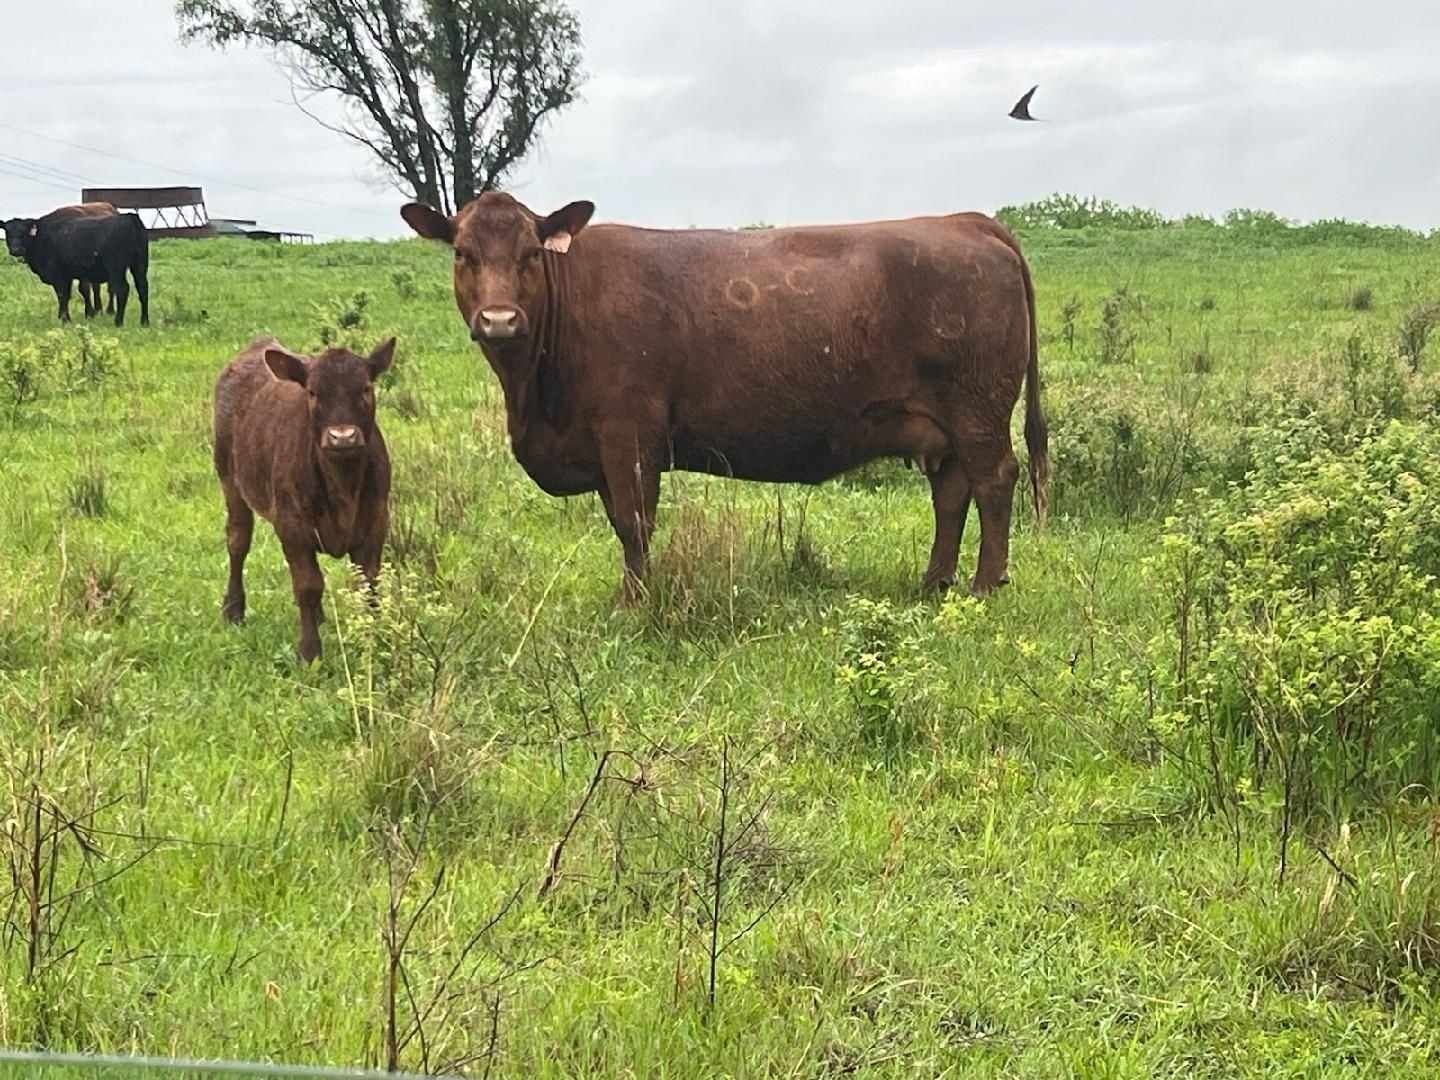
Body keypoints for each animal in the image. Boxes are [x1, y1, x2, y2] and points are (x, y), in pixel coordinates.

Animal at [2, 211, 149, 327]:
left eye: (23, 232)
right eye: (8, 232)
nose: (16, 249)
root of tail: (129, 217)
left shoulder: (58, 275)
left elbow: (62, 295)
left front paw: (65, 320)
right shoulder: (68, 276)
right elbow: (67, 296)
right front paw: (63, 317)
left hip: (116, 267)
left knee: (122, 289)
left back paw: (118, 322)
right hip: (140, 265)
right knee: (142, 288)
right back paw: (144, 322)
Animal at [213, 335, 396, 663]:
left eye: (365, 388)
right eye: (312, 392)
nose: (343, 437)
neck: (343, 484)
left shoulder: (377, 521)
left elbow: (368, 582)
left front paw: (376, 639)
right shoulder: (292, 525)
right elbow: (308, 585)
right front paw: (309, 652)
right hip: (229, 479)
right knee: (237, 541)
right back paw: (233, 608)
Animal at [401, 193, 1048, 603]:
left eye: (531, 254)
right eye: (463, 254)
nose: (500, 320)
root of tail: (967, 221)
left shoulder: (628, 434)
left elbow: (633, 523)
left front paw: (635, 603)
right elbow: (622, 523)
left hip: (978, 413)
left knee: (993, 481)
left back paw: (985, 584)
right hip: (942, 425)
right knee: (951, 493)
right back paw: (935, 581)